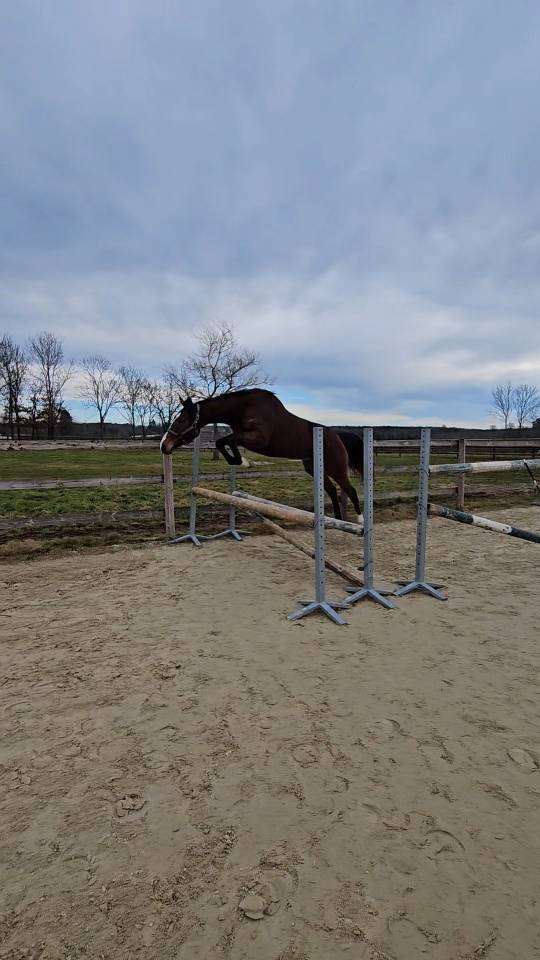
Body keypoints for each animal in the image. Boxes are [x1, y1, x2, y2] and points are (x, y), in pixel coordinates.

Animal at [160, 388, 363, 521]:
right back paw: (337, 520)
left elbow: (228, 441)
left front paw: (243, 462)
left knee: (350, 490)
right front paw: (238, 461)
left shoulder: (258, 439)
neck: (242, 409)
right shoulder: (243, 436)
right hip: (313, 467)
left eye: (182, 419)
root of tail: (338, 436)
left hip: (335, 467)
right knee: (332, 490)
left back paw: (360, 523)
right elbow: (222, 441)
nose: (164, 445)